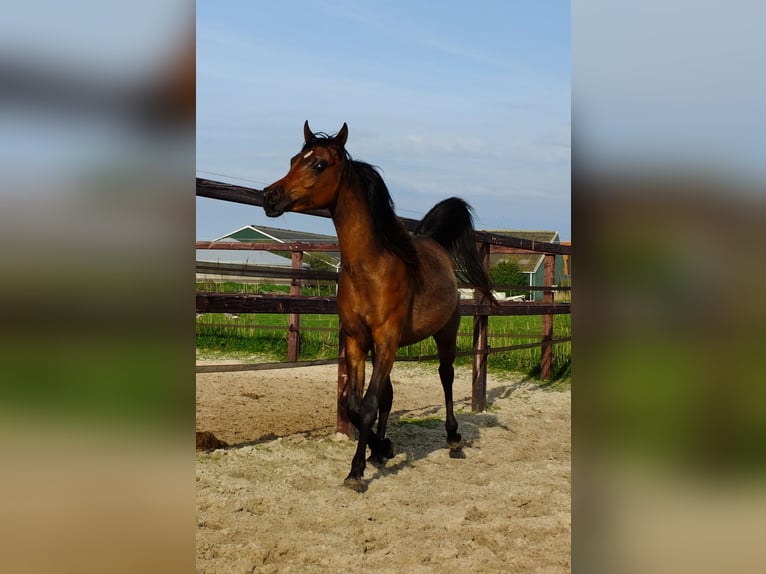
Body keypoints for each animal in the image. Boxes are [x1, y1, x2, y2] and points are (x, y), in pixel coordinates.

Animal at [262, 122, 498, 496]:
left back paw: (453, 439)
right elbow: (354, 404)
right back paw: (381, 451)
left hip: (445, 333)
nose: (269, 196)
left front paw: (356, 472)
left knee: (445, 376)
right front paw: (381, 448)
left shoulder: (386, 338)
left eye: (319, 164)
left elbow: (368, 405)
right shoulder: (358, 339)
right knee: (388, 393)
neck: (370, 268)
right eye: (293, 160)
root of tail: (436, 245)